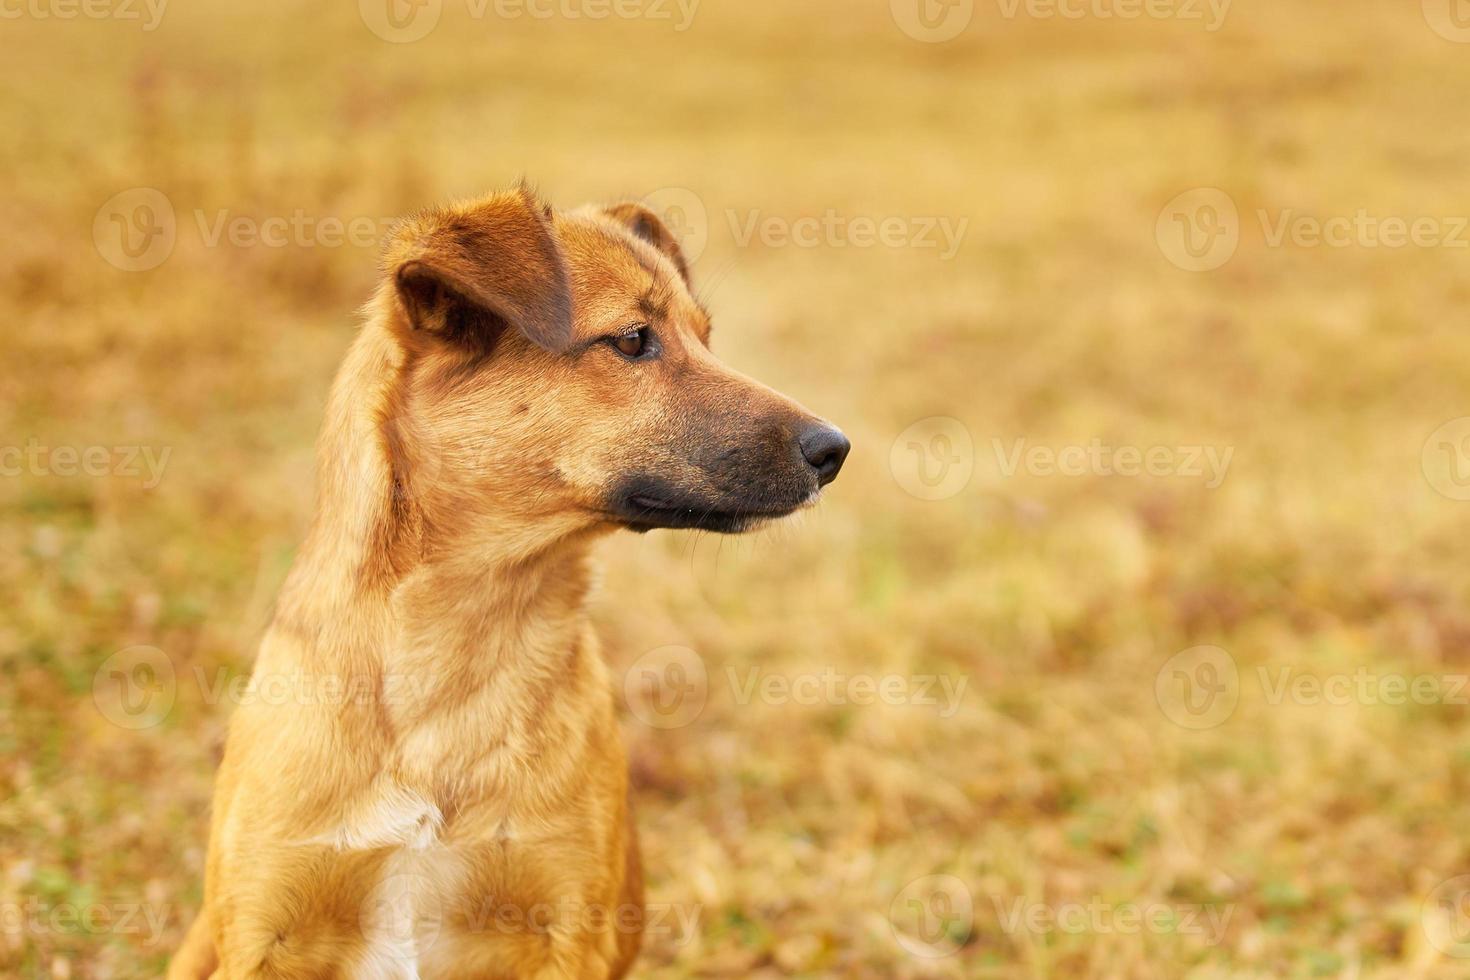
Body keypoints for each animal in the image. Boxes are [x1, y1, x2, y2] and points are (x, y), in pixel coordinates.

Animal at [168, 185, 852, 980]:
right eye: (632, 340)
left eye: (706, 338)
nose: (835, 449)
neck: (457, 641)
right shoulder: (264, 930)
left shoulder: (564, 927)